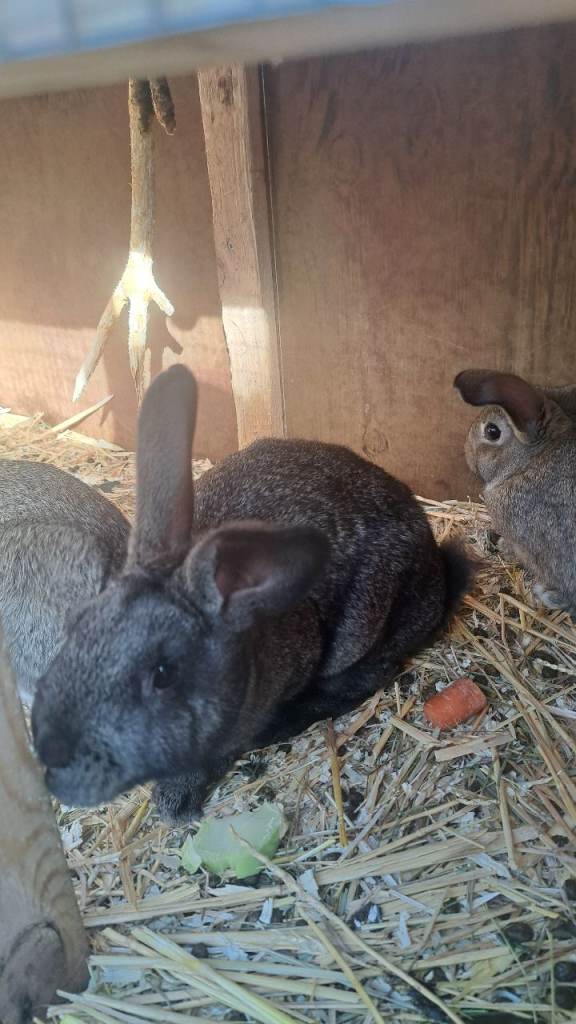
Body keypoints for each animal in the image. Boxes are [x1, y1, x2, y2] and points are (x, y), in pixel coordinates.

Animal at [32, 365, 471, 824]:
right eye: (78, 627)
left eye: (163, 674)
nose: (54, 744)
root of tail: (438, 573)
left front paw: (175, 800)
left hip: (366, 625)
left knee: (367, 676)